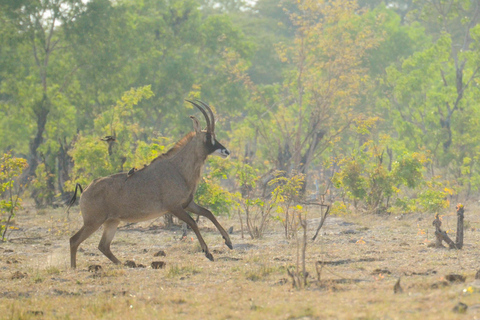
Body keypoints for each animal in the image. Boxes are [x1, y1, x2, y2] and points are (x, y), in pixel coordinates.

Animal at [67, 99, 232, 268]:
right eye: (208, 137)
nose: (226, 152)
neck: (178, 168)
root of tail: (84, 190)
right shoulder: (175, 207)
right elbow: (193, 222)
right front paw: (207, 252)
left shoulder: (187, 204)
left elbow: (208, 213)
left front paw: (228, 241)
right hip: (93, 222)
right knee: (74, 240)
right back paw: (74, 268)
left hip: (112, 222)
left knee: (103, 246)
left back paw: (123, 264)